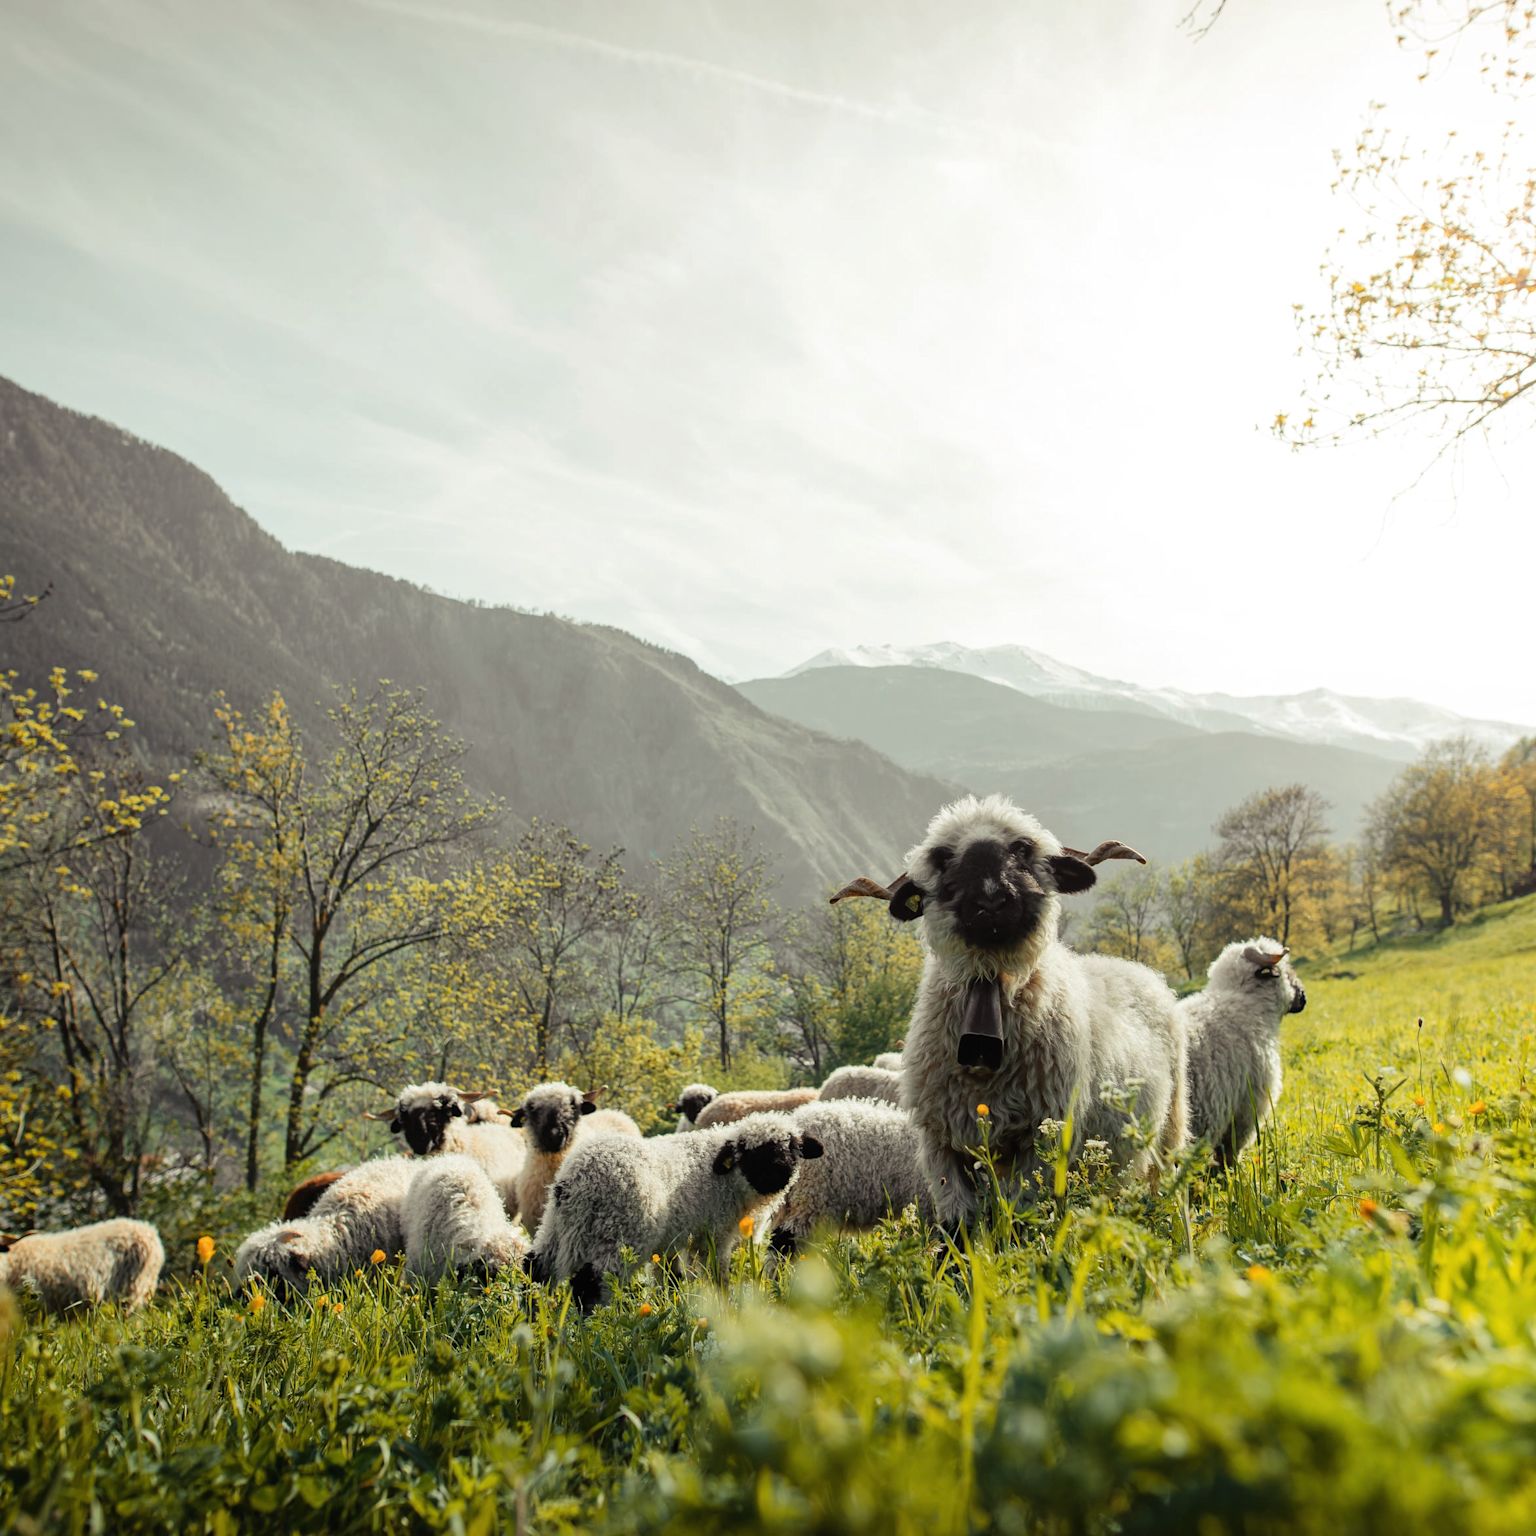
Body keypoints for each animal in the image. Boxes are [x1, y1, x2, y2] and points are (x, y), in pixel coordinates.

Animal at [529, 1111, 824, 1310]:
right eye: (750, 1153)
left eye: (793, 1147)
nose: (780, 1172)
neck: (727, 1180)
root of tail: (580, 1178)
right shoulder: (714, 1236)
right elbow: (717, 1277)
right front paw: (725, 1308)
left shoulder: (670, 1242)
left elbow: (671, 1278)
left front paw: (671, 1304)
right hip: (618, 1235)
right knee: (589, 1286)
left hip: (554, 1228)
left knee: (535, 1272)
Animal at [832, 793, 1187, 1229]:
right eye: (944, 858)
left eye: (1021, 848)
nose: (991, 900)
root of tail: (1138, 969)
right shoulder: (940, 1144)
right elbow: (959, 1226)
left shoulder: (1043, 1138)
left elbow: (1019, 1219)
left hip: (1169, 1129)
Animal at [1180, 937, 1305, 1168]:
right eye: (1285, 970)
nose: (1303, 996)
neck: (1246, 1002)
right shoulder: (1246, 1107)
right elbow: (1229, 1150)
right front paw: (1232, 1173)